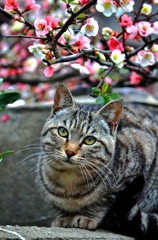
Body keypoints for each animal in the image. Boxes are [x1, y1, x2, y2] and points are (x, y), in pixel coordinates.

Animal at [35, 82, 158, 238]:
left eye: (89, 140)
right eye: (62, 131)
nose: (69, 152)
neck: (69, 180)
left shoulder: (136, 162)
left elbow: (104, 200)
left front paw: (87, 217)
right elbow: (57, 204)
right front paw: (64, 217)